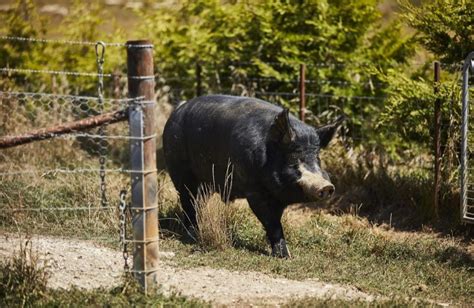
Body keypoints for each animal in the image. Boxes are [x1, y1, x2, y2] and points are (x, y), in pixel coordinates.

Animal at [163, 95, 340, 258]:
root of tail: (177, 110)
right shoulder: (253, 190)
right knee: (188, 201)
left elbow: (276, 220)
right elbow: (271, 222)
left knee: (199, 202)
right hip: (179, 169)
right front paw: (284, 257)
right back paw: (191, 235)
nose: (326, 186)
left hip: (207, 183)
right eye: (293, 158)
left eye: (317, 158)